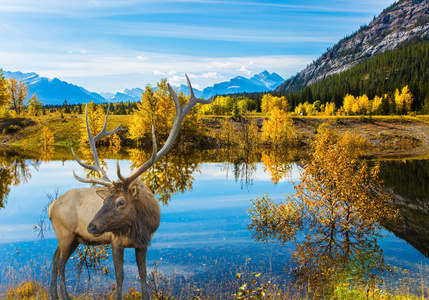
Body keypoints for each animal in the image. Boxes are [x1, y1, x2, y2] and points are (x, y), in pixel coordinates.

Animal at [48, 75, 212, 300]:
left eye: (120, 201)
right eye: (105, 199)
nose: (91, 226)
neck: (138, 226)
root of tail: (51, 207)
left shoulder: (144, 242)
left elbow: (143, 274)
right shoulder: (115, 240)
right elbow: (120, 277)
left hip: (73, 238)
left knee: (55, 258)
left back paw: (55, 293)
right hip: (65, 233)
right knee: (60, 261)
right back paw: (62, 295)